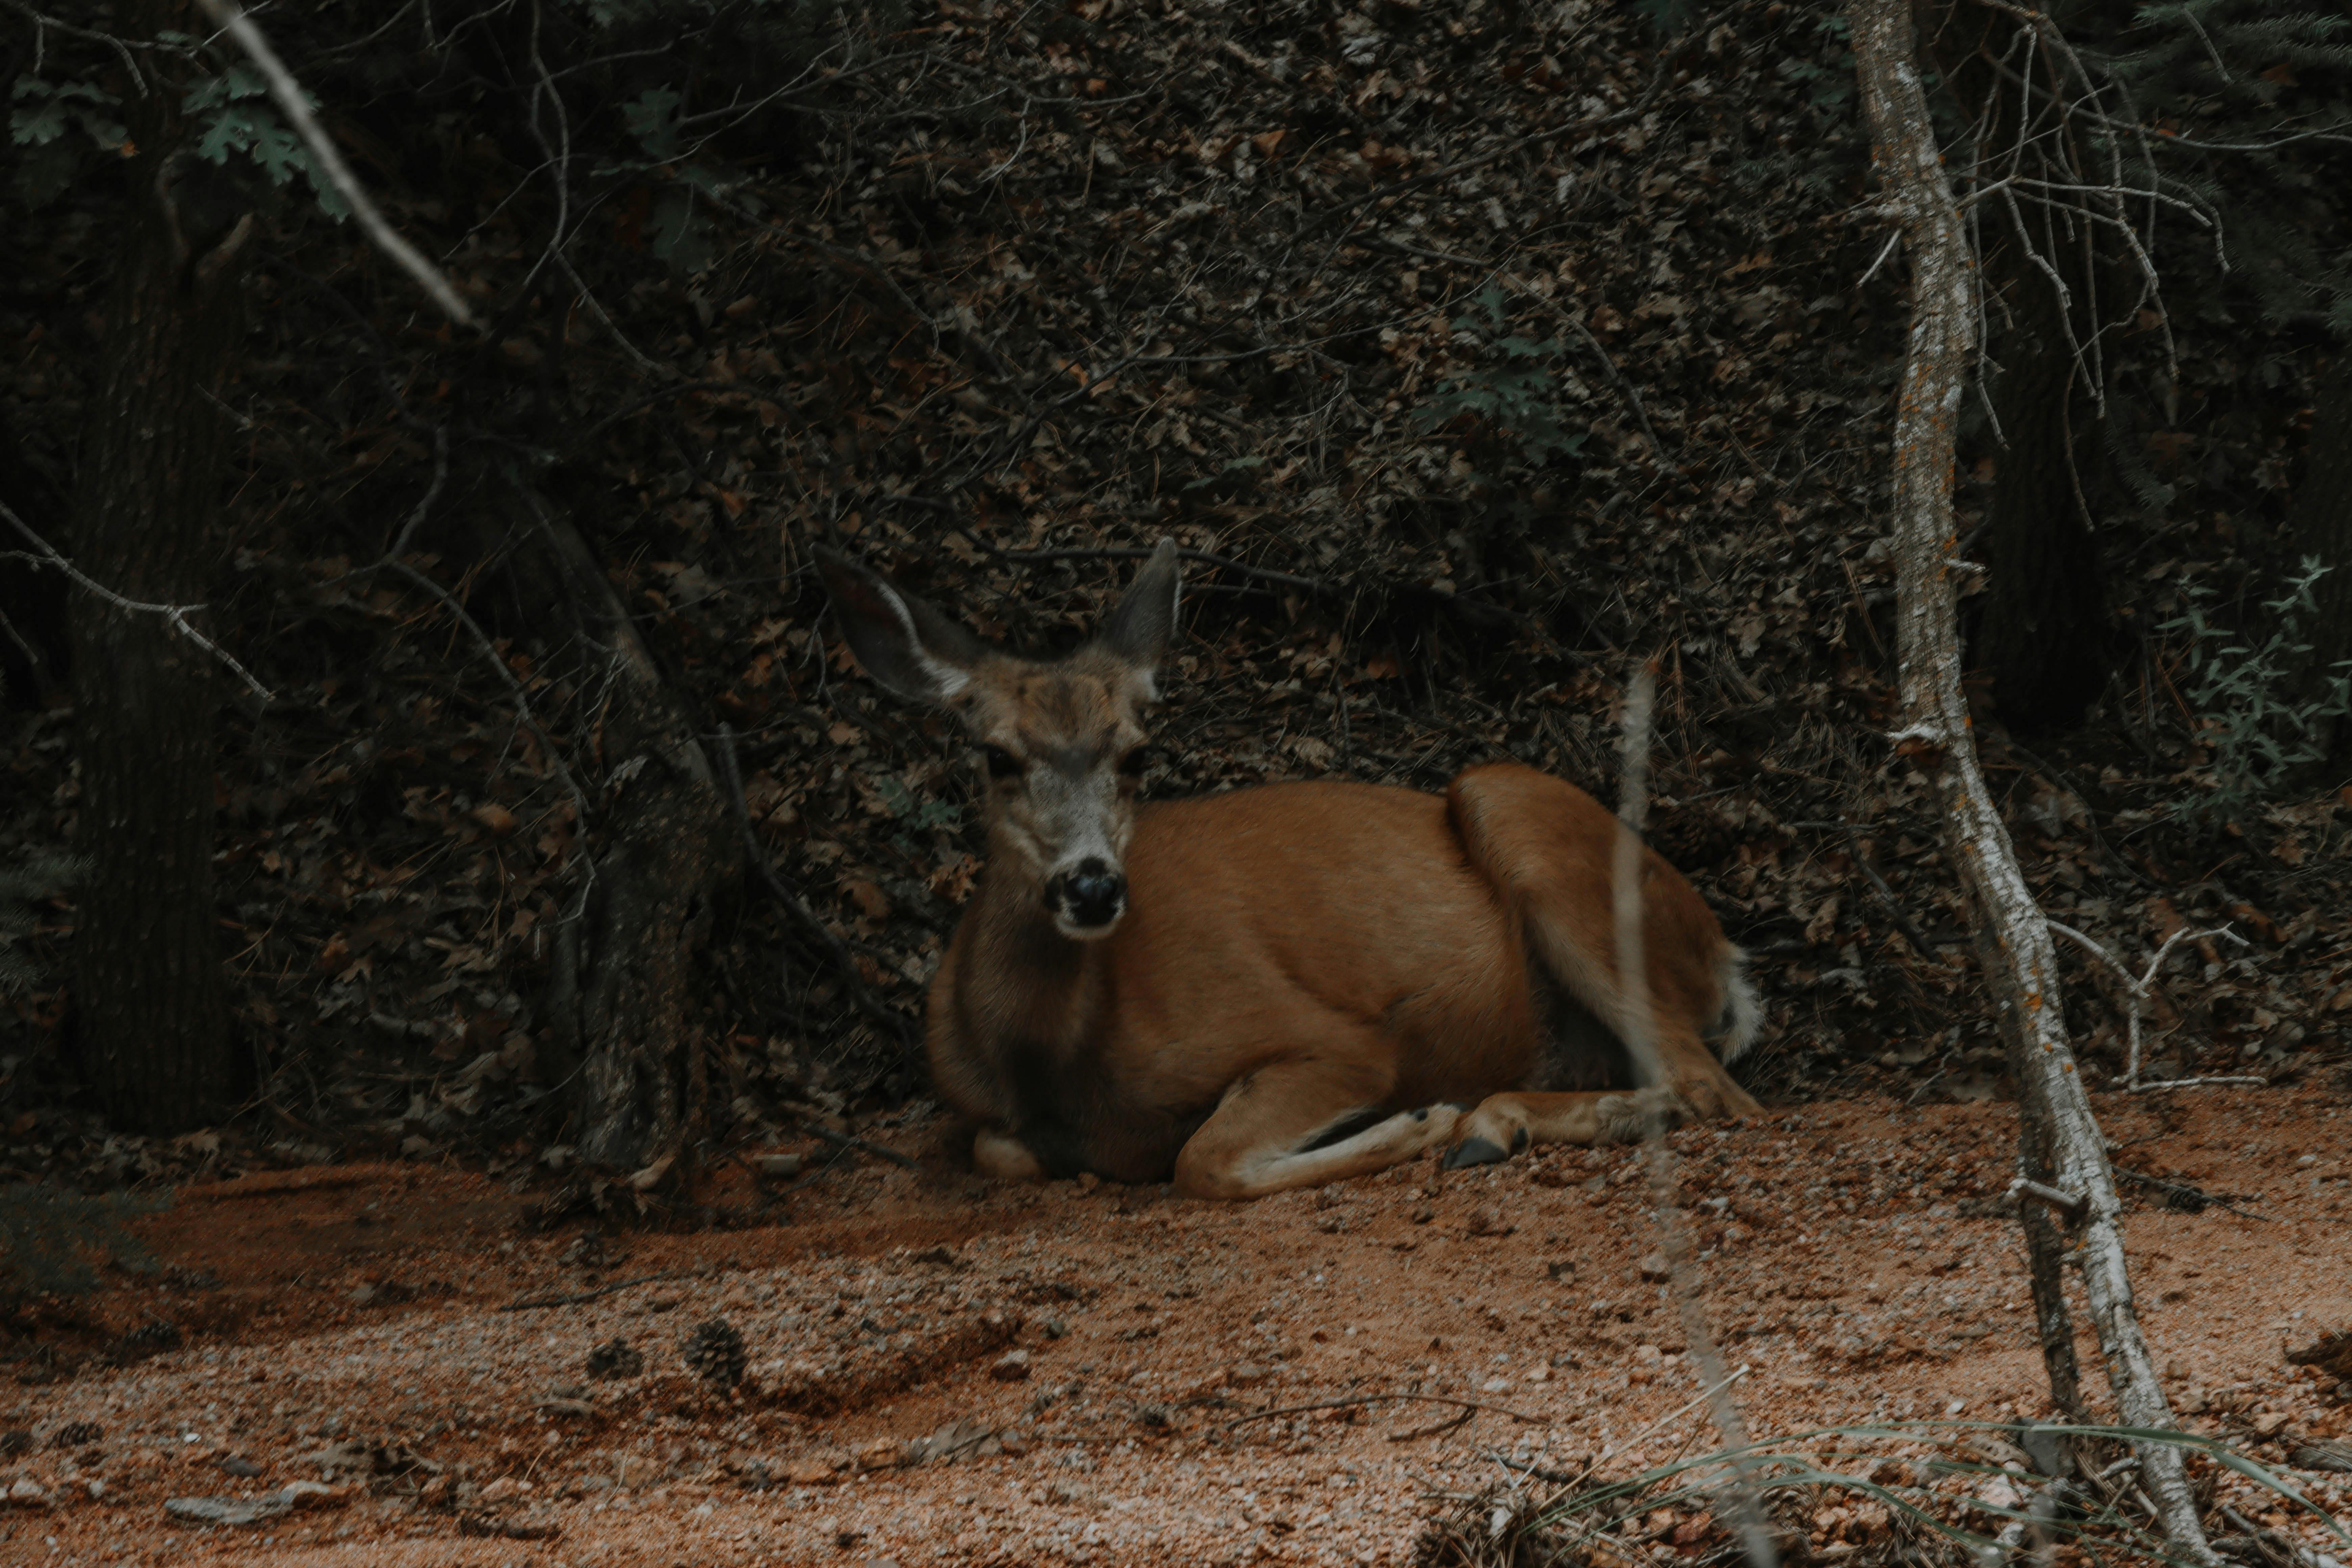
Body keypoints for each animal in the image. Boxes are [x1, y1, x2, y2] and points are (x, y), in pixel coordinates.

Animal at [818, 543, 1759, 1203]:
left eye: (1136, 754)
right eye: (997, 756)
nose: (1091, 886)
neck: (1052, 1052)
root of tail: (1724, 957)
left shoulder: (1331, 1036)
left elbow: (1200, 1158)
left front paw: (1417, 1120)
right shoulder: (984, 1111)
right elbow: (1003, 1149)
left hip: (1513, 809)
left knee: (1717, 1092)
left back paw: (1488, 1121)